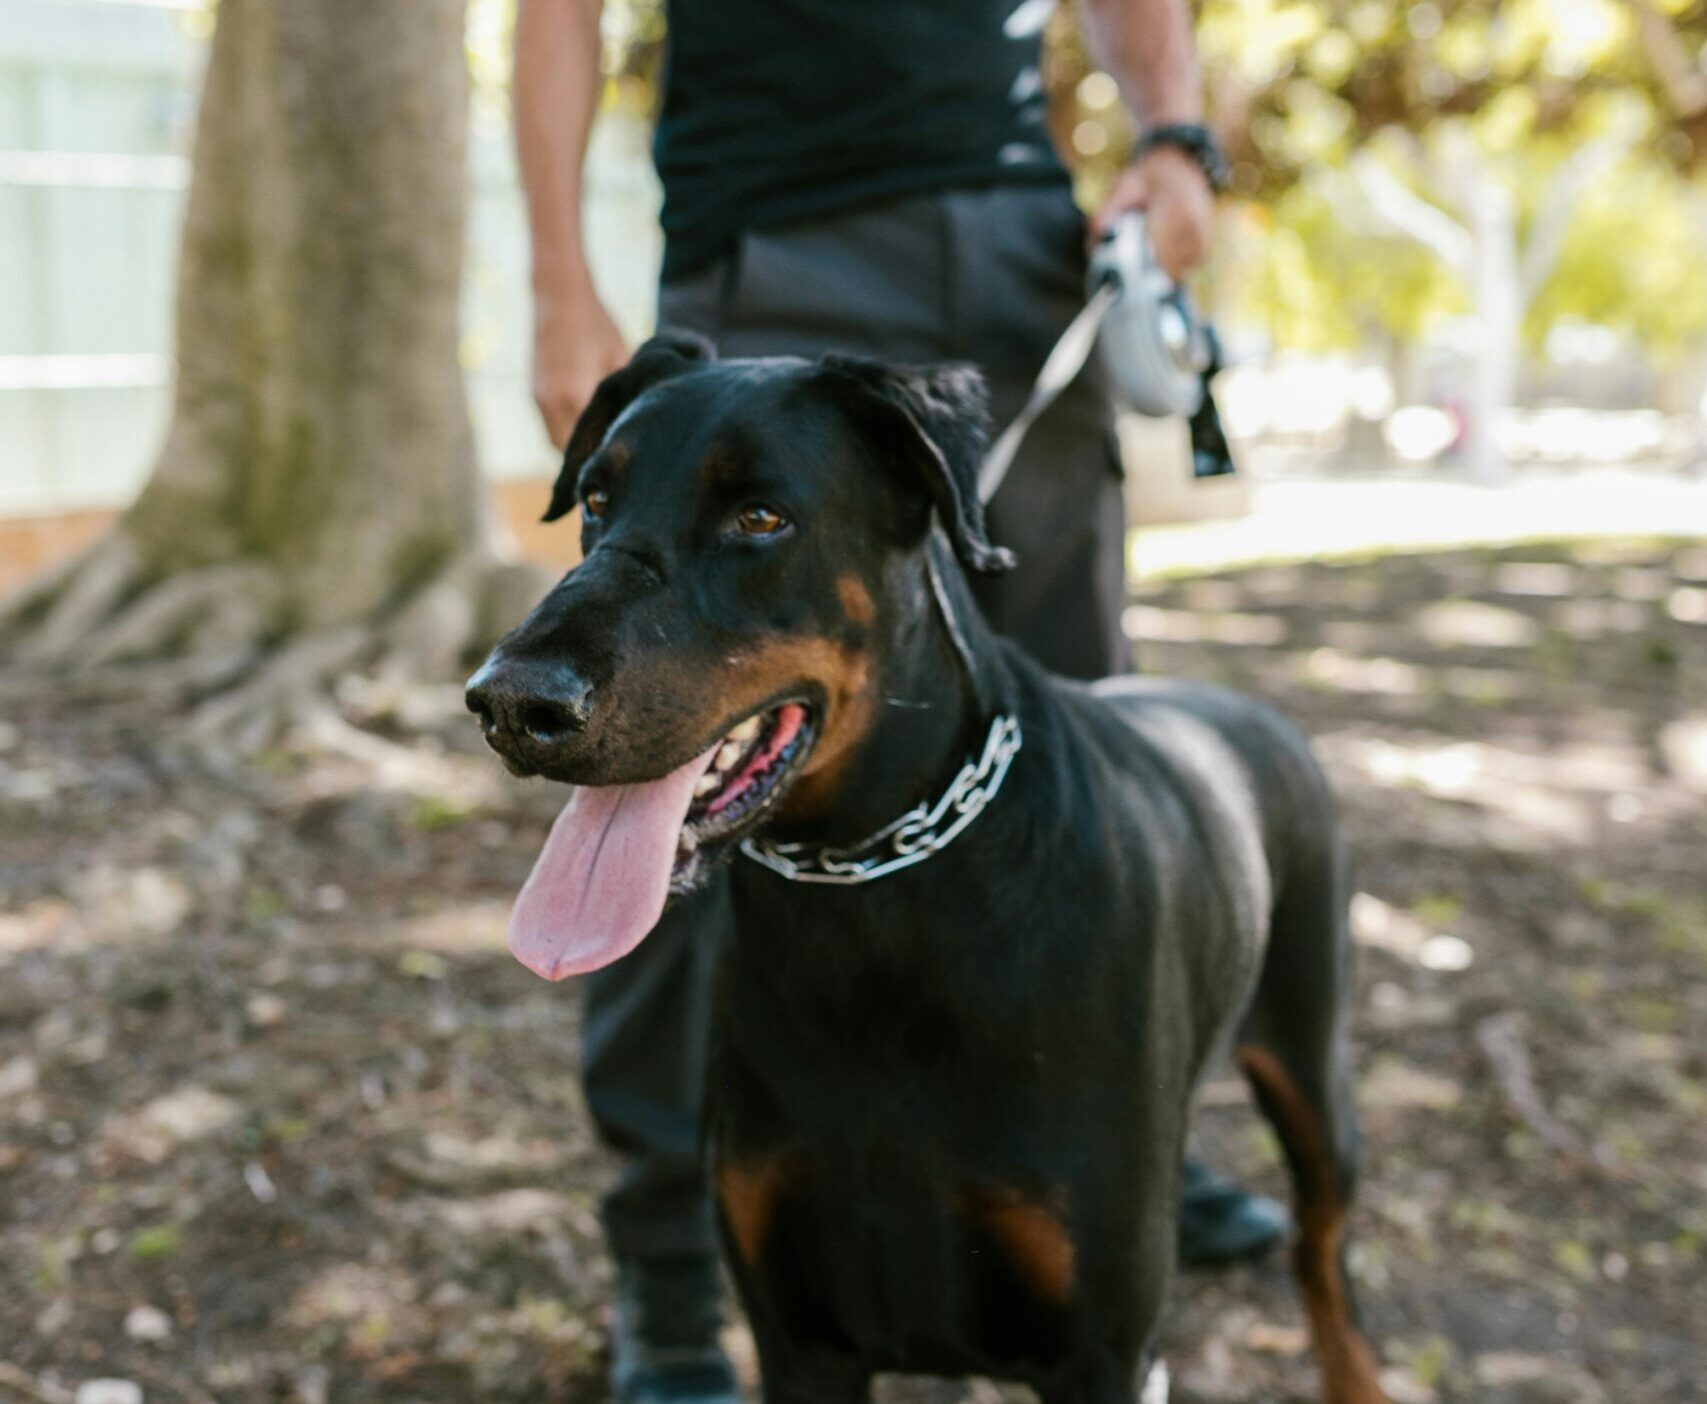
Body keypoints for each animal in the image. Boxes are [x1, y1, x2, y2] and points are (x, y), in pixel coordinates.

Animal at [467, 333, 1386, 1404]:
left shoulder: (1101, 1352)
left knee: (1323, 1256)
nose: (509, 702)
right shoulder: (797, 1331)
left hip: (1313, 1061)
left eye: (760, 516)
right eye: (596, 499)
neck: (873, 894)